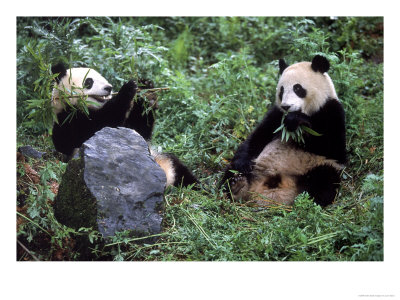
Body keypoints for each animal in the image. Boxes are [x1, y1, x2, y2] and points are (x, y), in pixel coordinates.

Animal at [50, 63, 198, 188]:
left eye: (102, 78)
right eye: (89, 82)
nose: (109, 88)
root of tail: (166, 181)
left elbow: (138, 132)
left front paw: (146, 90)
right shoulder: (68, 121)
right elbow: (100, 128)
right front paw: (127, 89)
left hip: (160, 158)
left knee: (178, 168)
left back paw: (196, 186)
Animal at [222, 55, 346, 207]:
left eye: (297, 88)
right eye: (281, 90)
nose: (286, 106)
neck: (308, 111)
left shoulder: (332, 112)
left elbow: (332, 148)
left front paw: (297, 121)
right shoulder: (276, 115)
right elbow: (257, 137)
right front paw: (243, 164)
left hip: (316, 166)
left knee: (324, 179)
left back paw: (305, 200)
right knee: (230, 172)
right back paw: (237, 186)